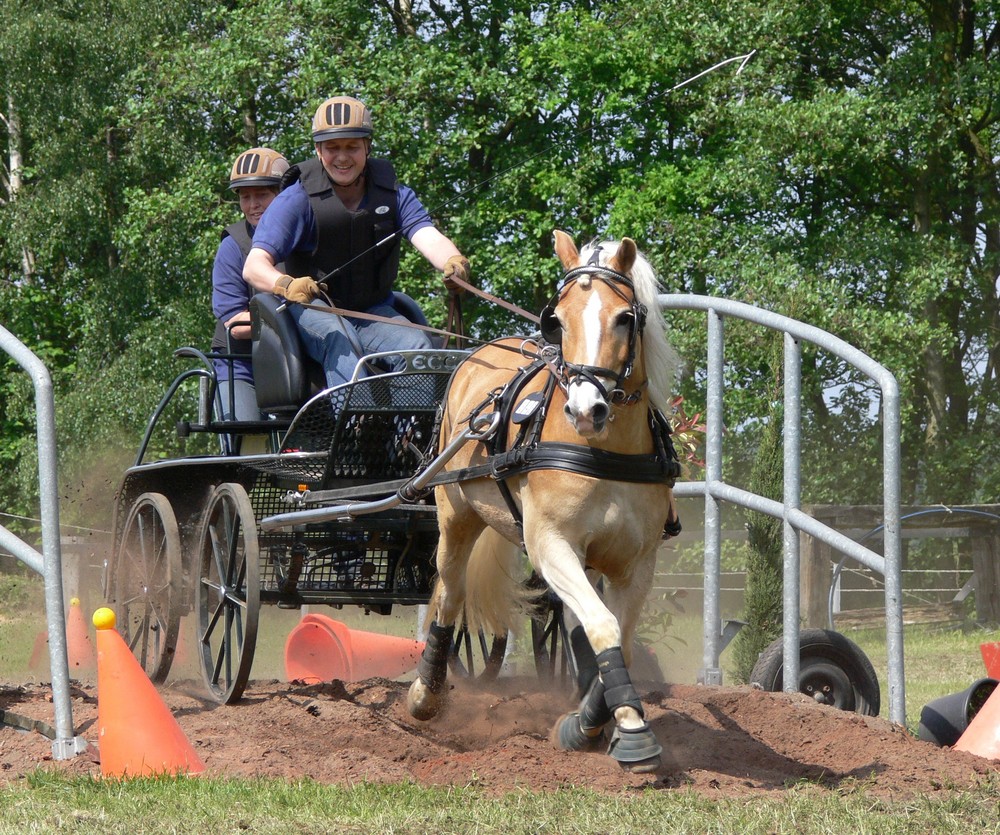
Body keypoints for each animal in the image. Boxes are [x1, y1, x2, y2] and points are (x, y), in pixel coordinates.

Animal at [406, 227, 680, 772]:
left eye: (625, 317)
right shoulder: (552, 545)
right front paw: (632, 731)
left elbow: (619, 639)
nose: (586, 409)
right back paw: (427, 693)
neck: (604, 451)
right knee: (450, 594)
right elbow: (602, 627)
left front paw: (588, 722)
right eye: (557, 320)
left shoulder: (637, 562)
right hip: (455, 515)